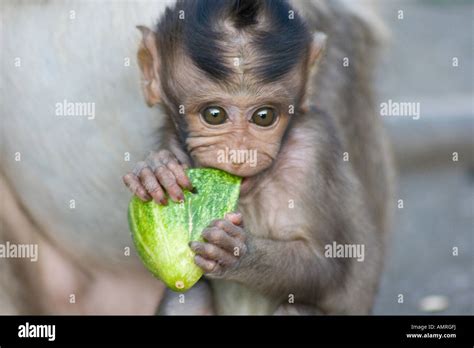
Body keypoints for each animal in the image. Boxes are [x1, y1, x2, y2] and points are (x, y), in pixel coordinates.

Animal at [122, 0, 392, 316]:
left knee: (296, 308)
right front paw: (155, 171)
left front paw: (236, 252)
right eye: (214, 115)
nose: (241, 153)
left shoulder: (312, 155)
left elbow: (329, 268)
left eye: (264, 116)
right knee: (188, 295)